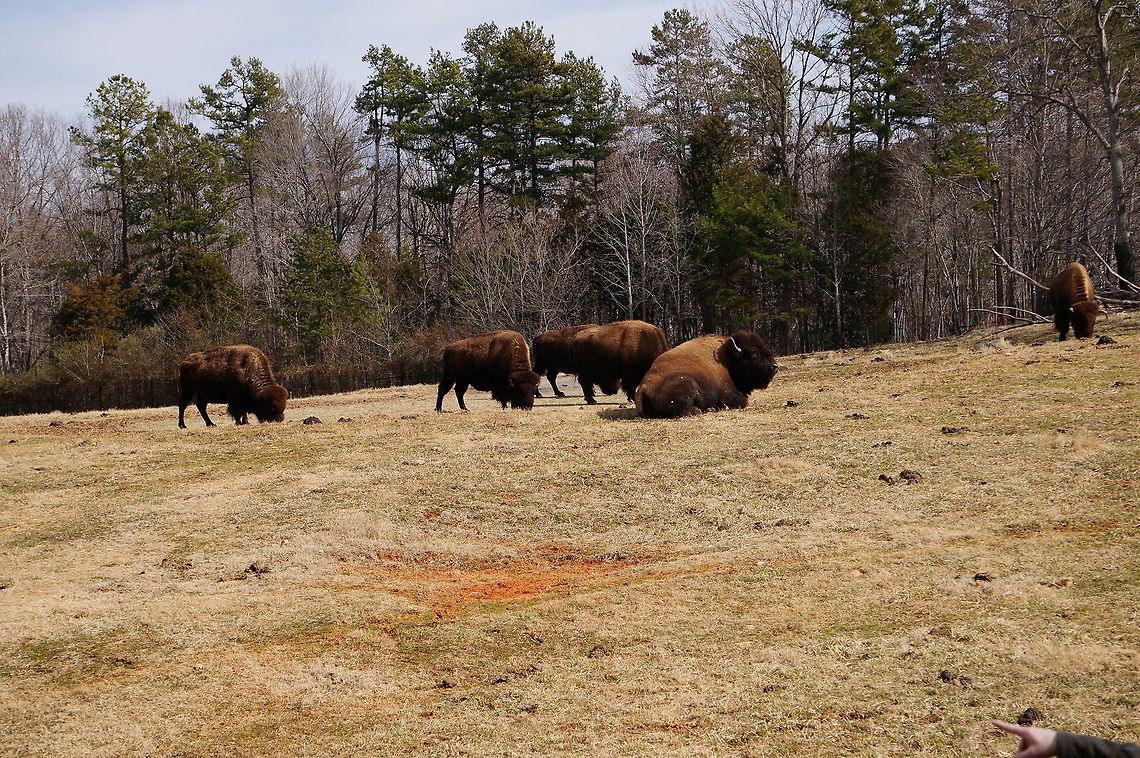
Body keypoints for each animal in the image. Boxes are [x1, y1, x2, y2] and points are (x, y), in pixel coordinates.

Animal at [636, 331, 777, 418]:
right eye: (753, 353)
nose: (774, 366)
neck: (727, 359)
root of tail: (642, 388)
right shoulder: (727, 393)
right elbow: (742, 401)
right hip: (688, 383)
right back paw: (703, 410)